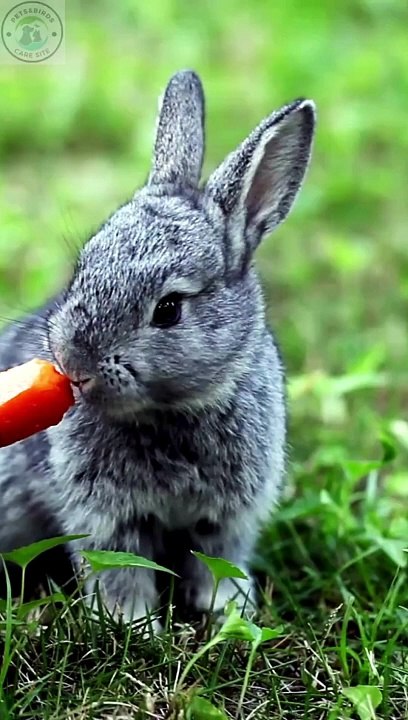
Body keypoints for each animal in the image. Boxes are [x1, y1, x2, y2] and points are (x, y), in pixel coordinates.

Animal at [0, 70, 315, 628]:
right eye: (83, 268)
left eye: (168, 308)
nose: (75, 366)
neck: (172, 410)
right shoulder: (106, 513)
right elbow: (119, 568)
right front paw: (133, 623)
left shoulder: (229, 516)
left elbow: (218, 561)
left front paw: (229, 612)